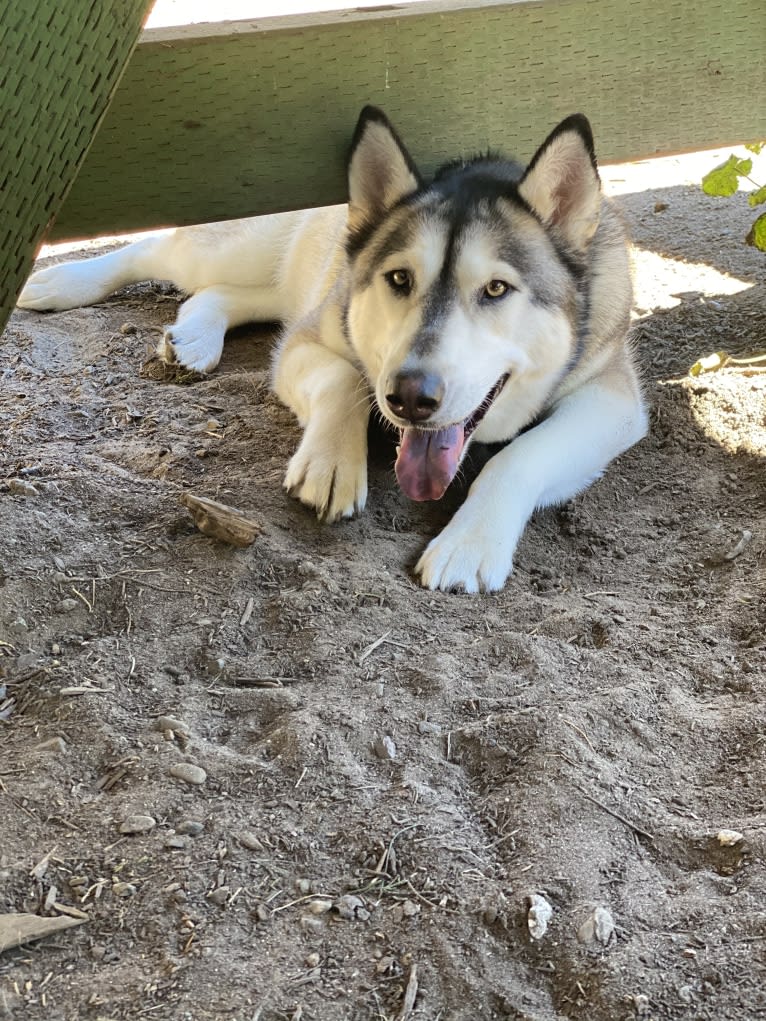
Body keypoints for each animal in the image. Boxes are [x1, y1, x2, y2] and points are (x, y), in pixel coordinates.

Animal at [16, 105, 649, 592]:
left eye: (496, 289)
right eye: (399, 279)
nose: (409, 396)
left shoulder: (612, 399)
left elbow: (521, 455)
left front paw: (471, 539)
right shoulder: (312, 337)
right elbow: (344, 378)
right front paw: (333, 462)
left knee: (226, 294)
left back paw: (196, 336)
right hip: (248, 246)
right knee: (158, 251)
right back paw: (56, 282)